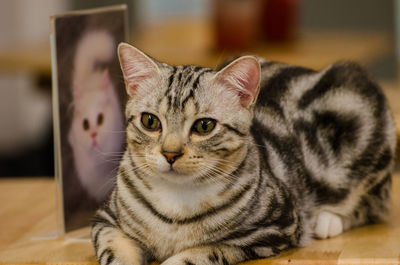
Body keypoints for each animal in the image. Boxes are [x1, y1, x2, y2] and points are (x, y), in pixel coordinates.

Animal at [91, 43, 396, 264]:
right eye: (150, 121)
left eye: (204, 126)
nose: (170, 153)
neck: (175, 203)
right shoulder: (107, 220)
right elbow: (115, 252)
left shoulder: (270, 230)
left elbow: (198, 254)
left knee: (372, 202)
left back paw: (328, 220)